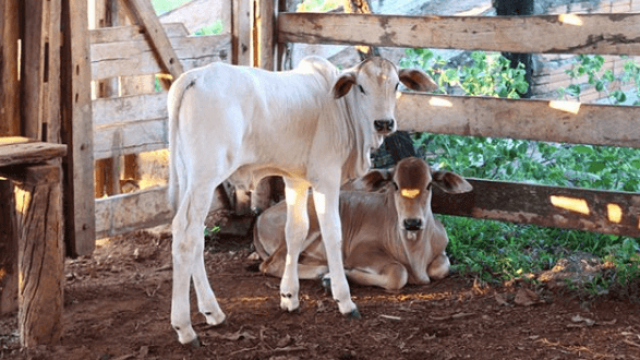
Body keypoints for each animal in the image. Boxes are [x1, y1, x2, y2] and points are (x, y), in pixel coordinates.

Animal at [165, 54, 438, 344]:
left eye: (396, 84)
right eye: (362, 88)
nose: (383, 123)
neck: (343, 110)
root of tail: (194, 77)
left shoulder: (295, 179)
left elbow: (295, 231)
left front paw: (289, 296)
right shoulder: (326, 177)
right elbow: (333, 233)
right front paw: (344, 301)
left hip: (188, 176)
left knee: (195, 235)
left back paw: (212, 312)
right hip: (205, 176)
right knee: (186, 234)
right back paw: (185, 328)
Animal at [252, 158, 472, 290]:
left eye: (428, 185)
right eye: (395, 185)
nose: (412, 222)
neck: (414, 252)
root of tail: (261, 217)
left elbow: (441, 267)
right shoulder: (361, 253)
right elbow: (398, 274)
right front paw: (341, 276)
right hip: (309, 224)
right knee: (272, 264)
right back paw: (323, 272)